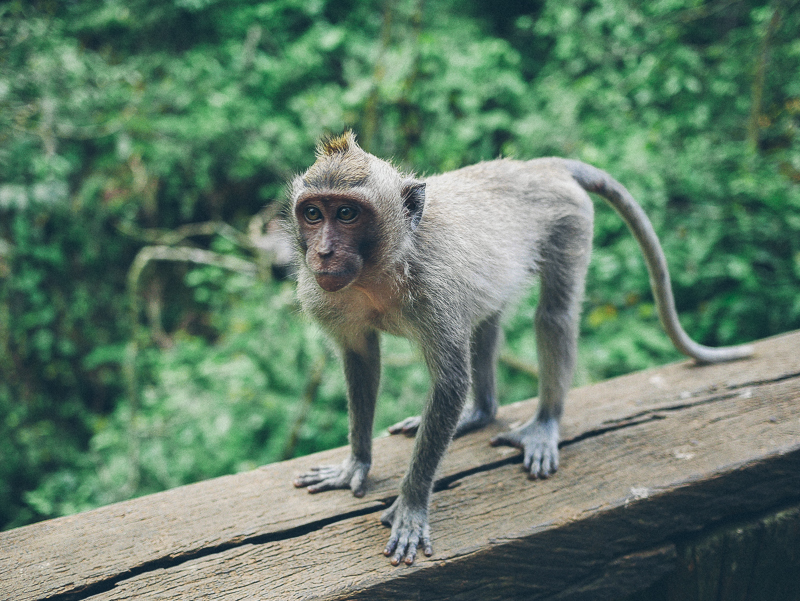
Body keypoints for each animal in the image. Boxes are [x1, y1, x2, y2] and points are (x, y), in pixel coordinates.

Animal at [290, 129, 752, 564]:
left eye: (347, 213)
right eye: (313, 213)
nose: (323, 252)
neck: (380, 270)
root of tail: (536, 166)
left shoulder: (436, 289)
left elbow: (450, 383)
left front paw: (411, 505)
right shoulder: (324, 294)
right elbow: (361, 360)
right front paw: (355, 465)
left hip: (569, 219)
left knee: (553, 316)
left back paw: (543, 423)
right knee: (486, 317)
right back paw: (479, 413)